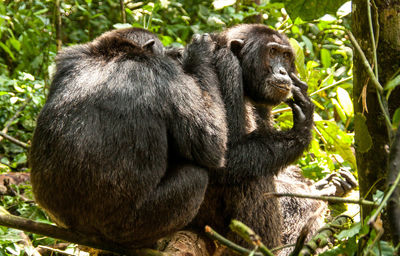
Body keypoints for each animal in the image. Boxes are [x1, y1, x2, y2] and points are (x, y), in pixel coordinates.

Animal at [28, 27, 228, 247]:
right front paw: (199, 51)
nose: (174, 52)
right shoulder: (168, 75)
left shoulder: (68, 57)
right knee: (196, 176)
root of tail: (89, 231)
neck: (116, 52)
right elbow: (211, 142)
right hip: (131, 226)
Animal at [191, 24, 316, 250]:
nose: (282, 70)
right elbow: (221, 156)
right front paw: (303, 125)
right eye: (272, 52)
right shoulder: (226, 66)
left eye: (285, 56)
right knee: (254, 176)